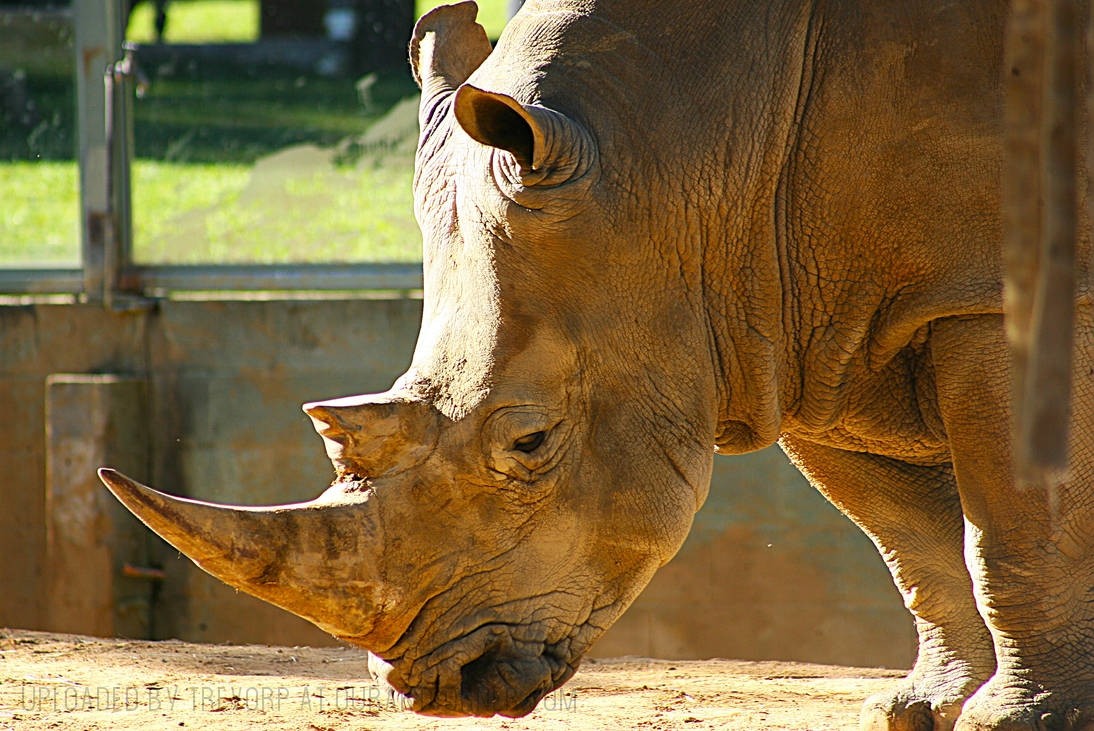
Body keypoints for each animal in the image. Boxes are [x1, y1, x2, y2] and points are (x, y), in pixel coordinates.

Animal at [99, 1, 1094, 728]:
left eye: (531, 442)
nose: (443, 685)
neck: (689, 147)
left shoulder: (982, 290)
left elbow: (1010, 522)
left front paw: (1017, 720)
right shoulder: (802, 318)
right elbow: (910, 537)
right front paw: (922, 708)